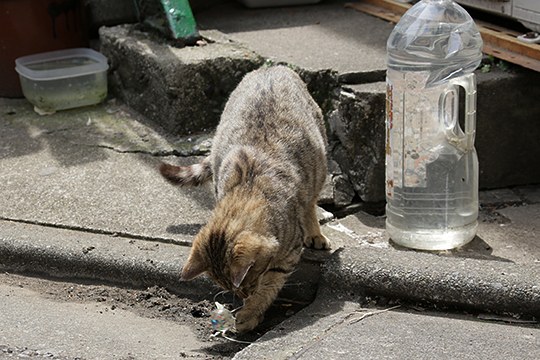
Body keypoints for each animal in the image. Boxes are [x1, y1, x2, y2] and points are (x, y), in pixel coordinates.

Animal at [159, 65, 330, 332]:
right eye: (227, 287)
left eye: (247, 280)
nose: (243, 295)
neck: (248, 187)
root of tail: (272, 67)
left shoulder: (288, 253)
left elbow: (270, 285)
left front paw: (250, 311)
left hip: (320, 160)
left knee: (311, 202)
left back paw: (315, 233)